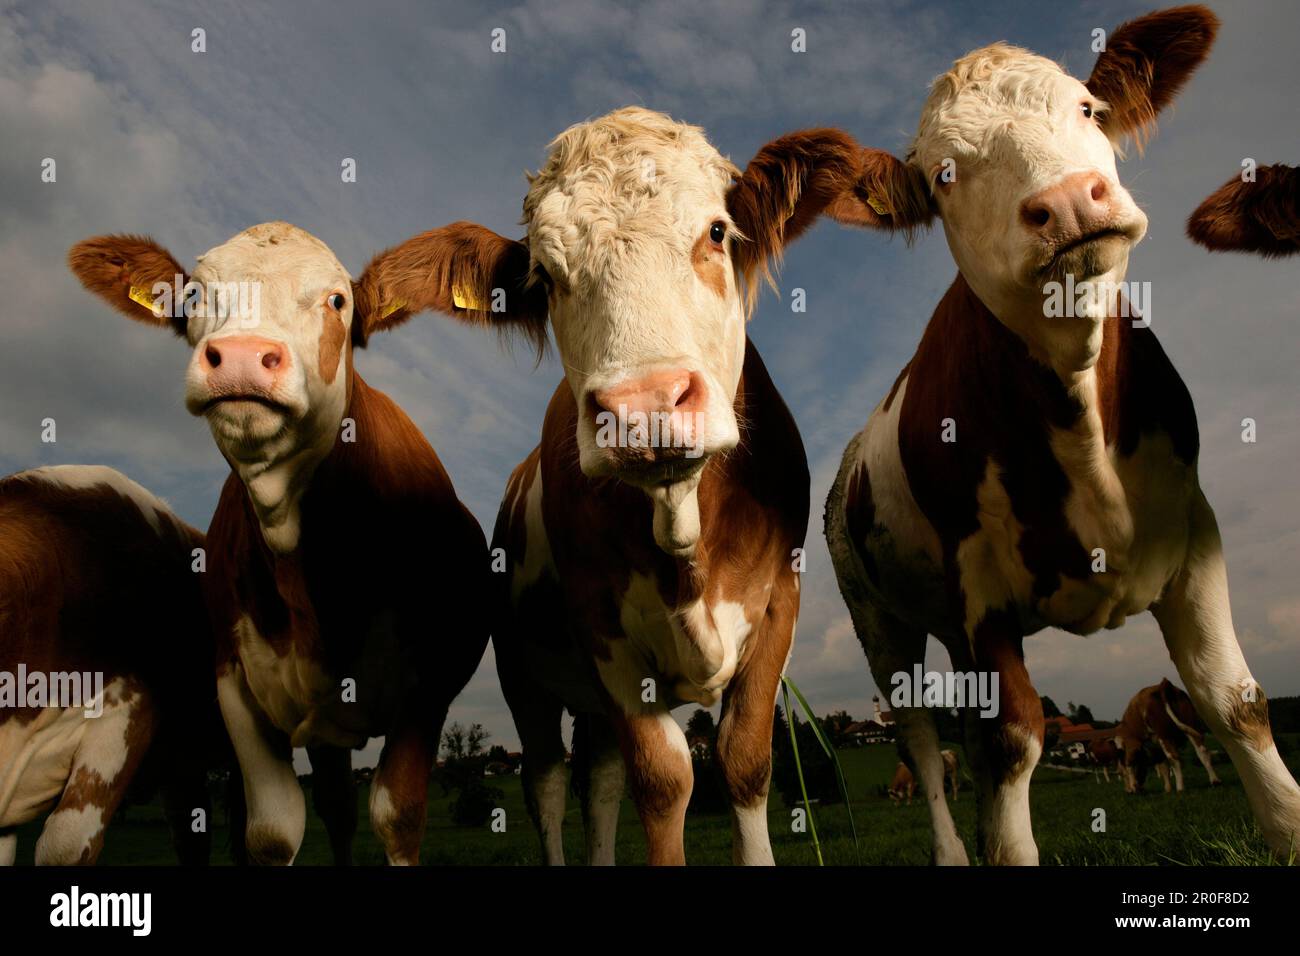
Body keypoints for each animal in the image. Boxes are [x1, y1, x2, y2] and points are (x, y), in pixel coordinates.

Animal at [67, 222, 492, 865]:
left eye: (337, 300)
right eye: (196, 294)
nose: (242, 356)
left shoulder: (432, 684)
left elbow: (397, 816)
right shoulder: (234, 686)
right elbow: (272, 832)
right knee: (334, 809)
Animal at [380, 107, 881, 865]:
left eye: (716, 231)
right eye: (545, 276)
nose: (644, 407)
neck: (680, 528)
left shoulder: (778, 608)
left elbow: (744, 762)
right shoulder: (602, 634)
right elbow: (665, 779)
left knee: (602, 783)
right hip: (525, 678)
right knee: (549, 783)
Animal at [824, 5, 1300, 864]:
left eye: (1089, 109)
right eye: (944, 175)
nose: (1073, 201)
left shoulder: (1195, 531)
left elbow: (1236, 699)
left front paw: (1286, 826)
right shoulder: (978, 589)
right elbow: (1015, 742)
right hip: (879, 622)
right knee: (924, 746)